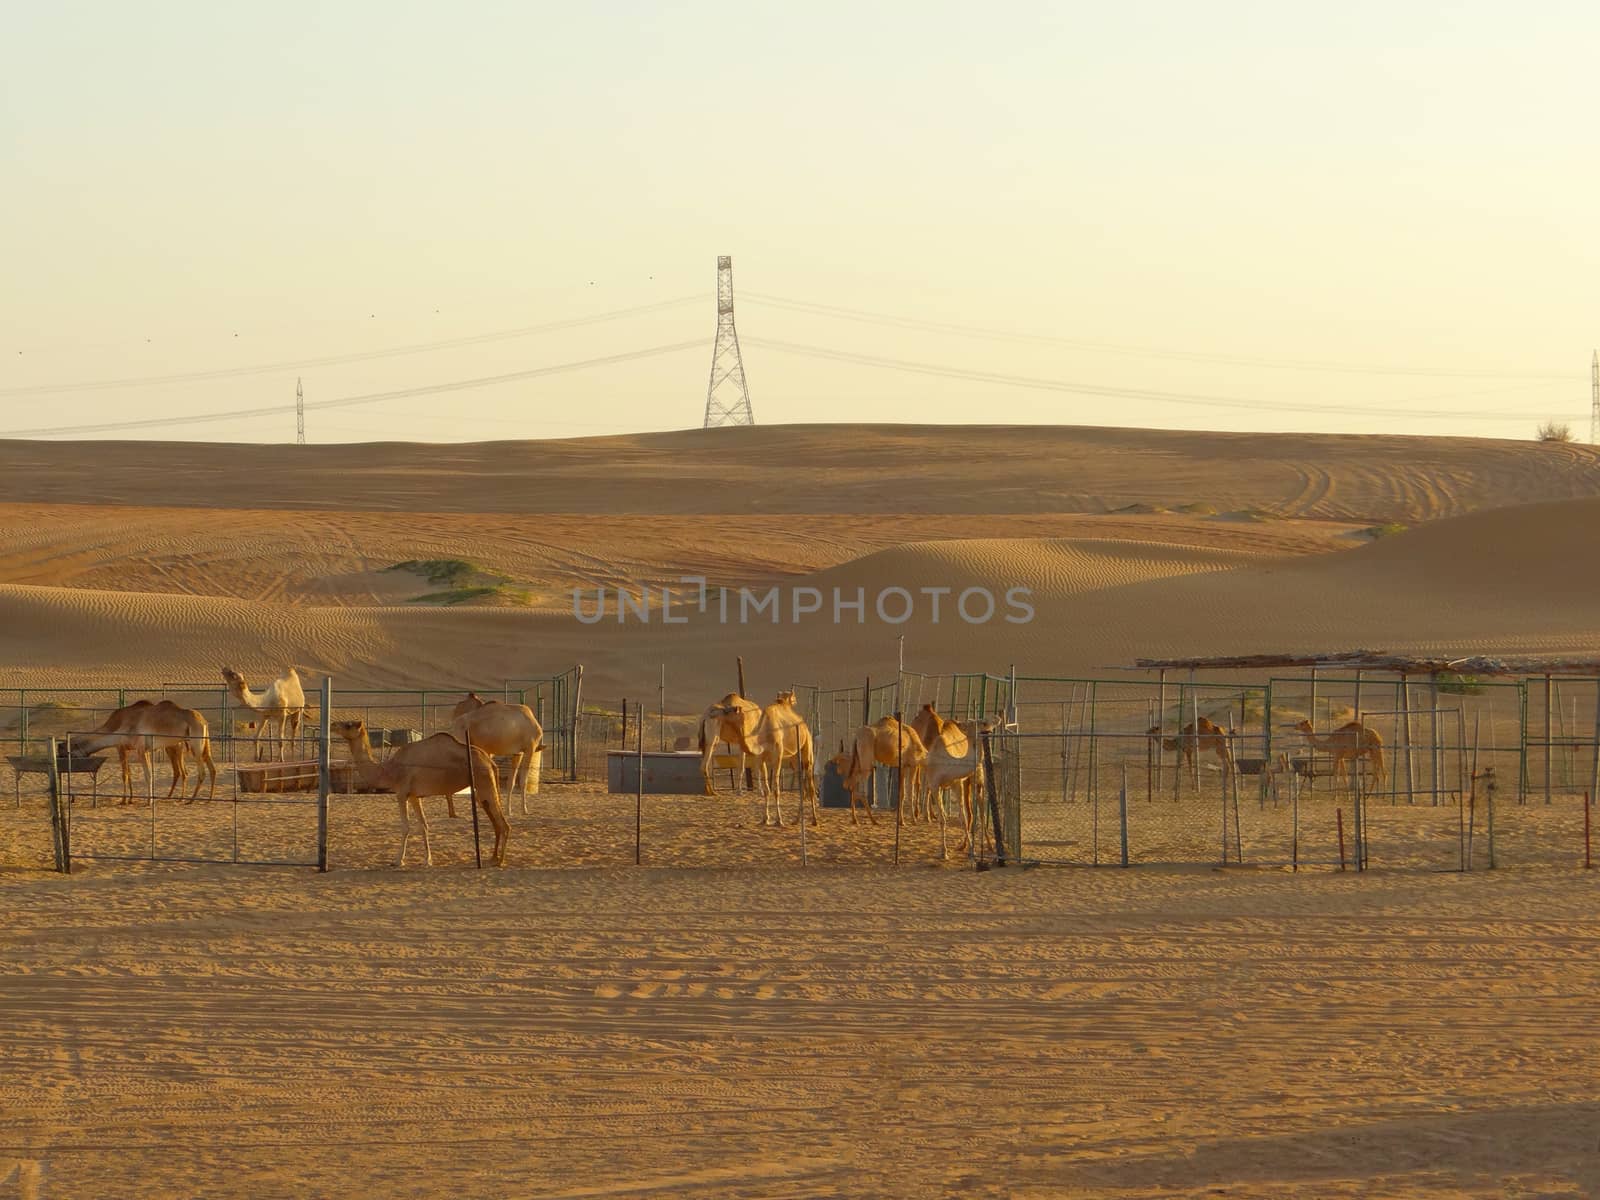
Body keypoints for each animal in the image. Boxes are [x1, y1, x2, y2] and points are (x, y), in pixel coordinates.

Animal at [73, 700, 216, 803]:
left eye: (68, 750)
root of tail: (203, 721)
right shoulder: (134, 749)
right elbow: (130, 774)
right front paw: (131, 799)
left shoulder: (134, 749)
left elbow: (141, 775)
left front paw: (142, 801)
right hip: (202, 743)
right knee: (209, 767)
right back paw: (206, 798)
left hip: (195, 743)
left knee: (200, 771)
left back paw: (191, 800)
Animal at [334, 720, 508, 870]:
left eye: (348, 725)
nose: (333, 724)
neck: (389, 771)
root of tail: (490, 761)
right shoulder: (414, 796)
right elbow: (424, 825)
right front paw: (427, 860)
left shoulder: (401, 792)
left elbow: (405, 827)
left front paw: (398, 861)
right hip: (482, 790)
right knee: (496, 822)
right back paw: (492, 858)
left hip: (485, 782)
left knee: (503, 823)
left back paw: (500, 861)